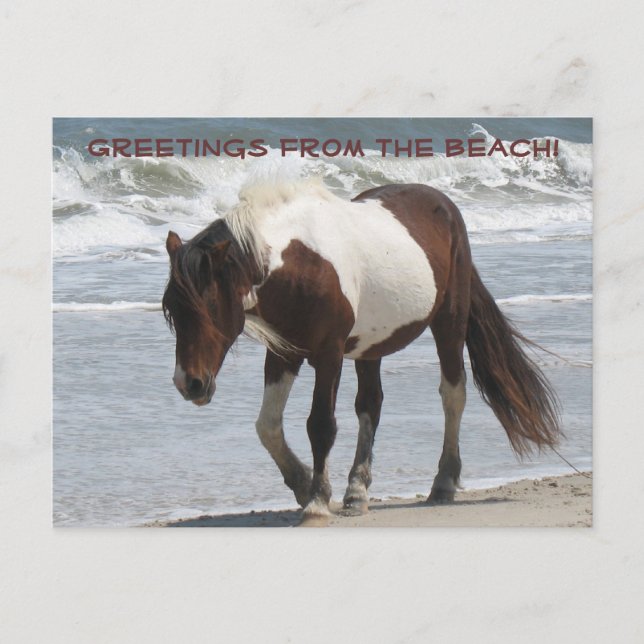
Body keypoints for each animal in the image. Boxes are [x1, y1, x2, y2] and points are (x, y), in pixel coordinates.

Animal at [162, 181, 560, 521]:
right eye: (172, 310)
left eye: (209, 306)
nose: (189, 384)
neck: (303, 262)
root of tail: (444, 205)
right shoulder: (283, 354)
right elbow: (268, 426)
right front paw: (303, 484)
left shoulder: (329, 354)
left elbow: (321, 425)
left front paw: (317, 502)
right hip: (371, 348)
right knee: (371, 404)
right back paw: (357, 492)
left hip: (449, 321)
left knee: (453, 394)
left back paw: (443, 482)